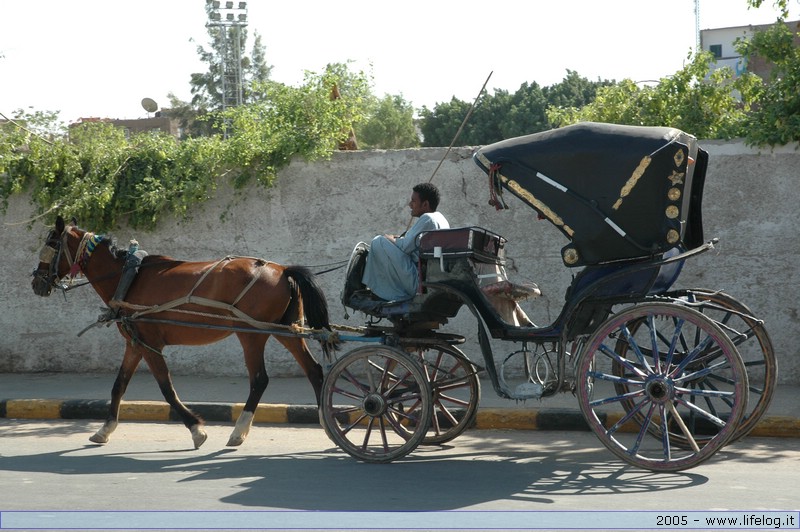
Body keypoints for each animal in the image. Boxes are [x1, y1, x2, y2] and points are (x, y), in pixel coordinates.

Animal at [31, 216, 332, 448]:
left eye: (51, 244)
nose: (36, 282)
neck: (128, 278)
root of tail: (282, 269)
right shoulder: (135, 343)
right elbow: (119, 385)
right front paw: (104, 430)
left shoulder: (150, 344)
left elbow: (166, 389)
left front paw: (196, 429)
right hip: (285, 331)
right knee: (314, 370)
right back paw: (325, 422)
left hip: (250, 334)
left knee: (259, 380)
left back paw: (238, 431)